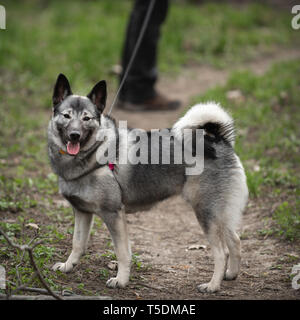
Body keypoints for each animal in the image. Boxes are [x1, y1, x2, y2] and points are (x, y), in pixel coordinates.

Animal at [47, 74, 248, 294]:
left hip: (206, 213)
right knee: (235, 241)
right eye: (66, 116)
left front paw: (121, 280)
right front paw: (68, 266)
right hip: (221, 213)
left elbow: (122, 252)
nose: (74, 134)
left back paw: (212, 285)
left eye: (86, 118)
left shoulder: (113, 214)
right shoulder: (82, 212)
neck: (93, 155)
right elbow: (77, 244)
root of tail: (218, 139)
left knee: (221, 252)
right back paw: (230, 274)